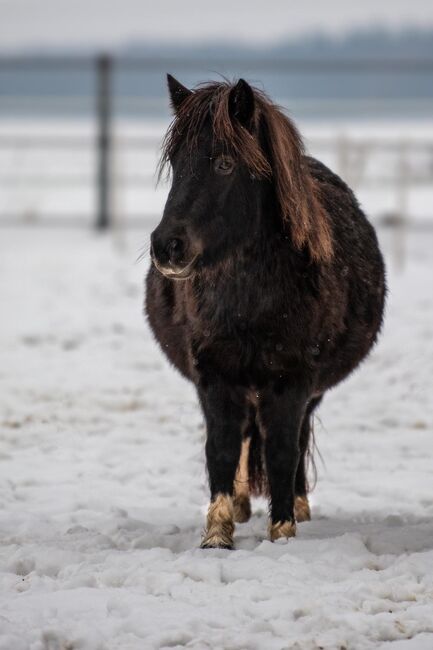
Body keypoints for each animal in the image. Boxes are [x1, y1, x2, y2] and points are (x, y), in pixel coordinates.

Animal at [145, 76, 384, 548]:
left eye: (224, 164)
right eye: (177, 163)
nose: (167, 246)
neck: (251, 304)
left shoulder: (293, 381)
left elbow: (282, 450)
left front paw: (283, 529)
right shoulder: (214, 377)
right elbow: (220, 447)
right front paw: (217, 534)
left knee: (297, 439)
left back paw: (300, 505)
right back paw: (240, 505)